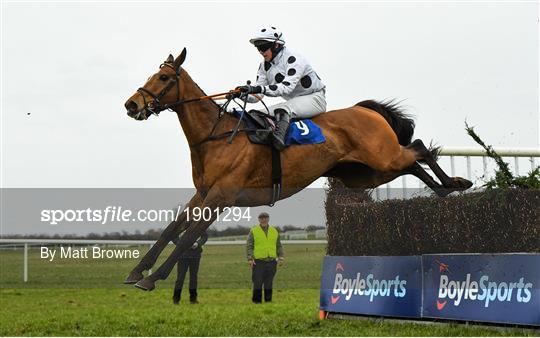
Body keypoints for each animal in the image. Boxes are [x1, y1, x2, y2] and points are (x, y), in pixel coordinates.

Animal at [121, 48, 468, 292]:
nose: (132, 105)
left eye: (163, 78)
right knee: (413, 162)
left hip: (384, 158)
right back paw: (444, 189)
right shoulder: (203, 193)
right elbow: (171, 229)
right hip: (366, 173)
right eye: (153, 74)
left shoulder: (222, 196)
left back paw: (455, 182)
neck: (216, 136)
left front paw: (152, 278)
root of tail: (364, 109)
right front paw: (137, 270)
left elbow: (188, 236)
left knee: (418, 147)